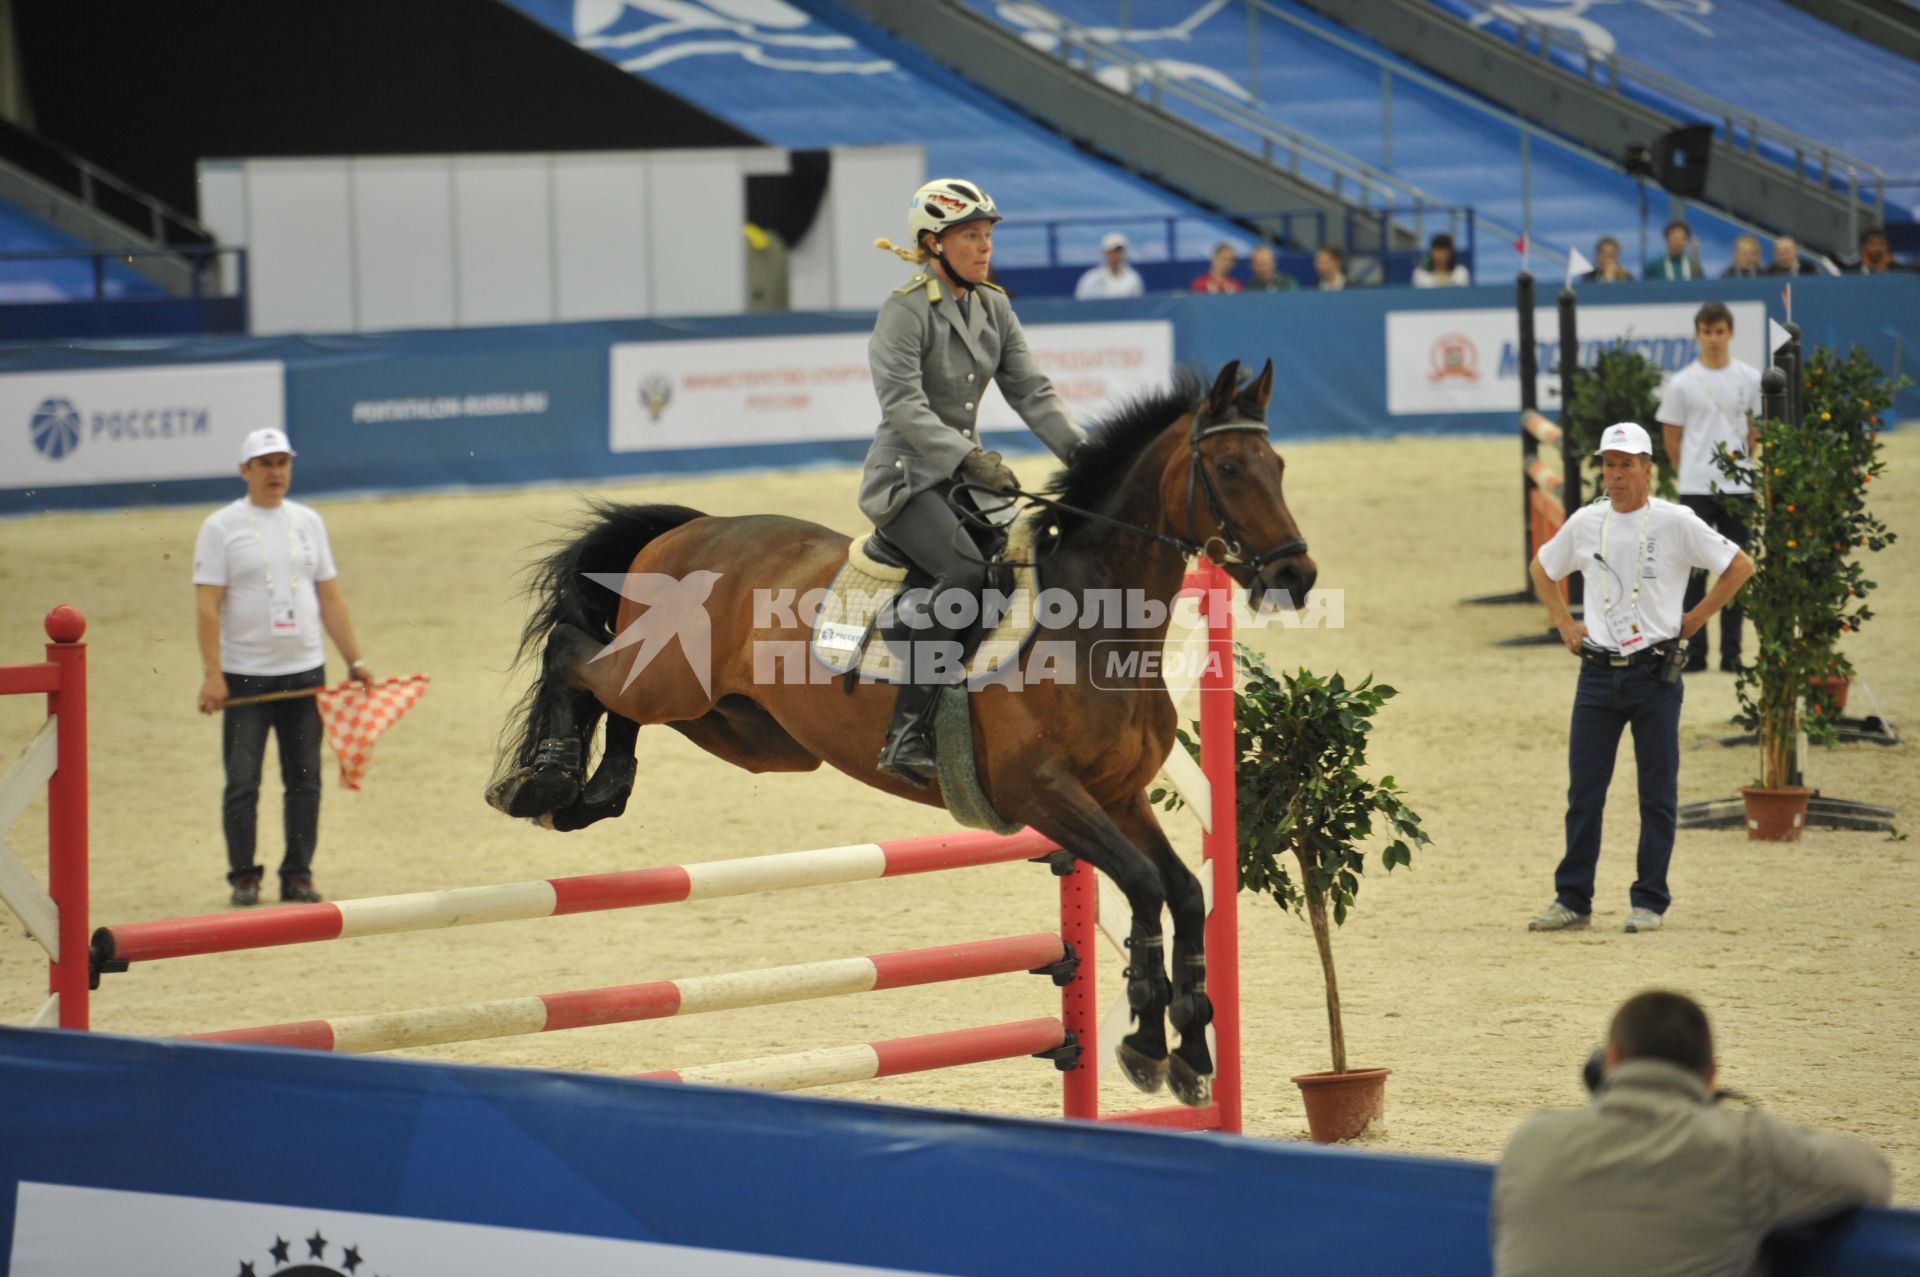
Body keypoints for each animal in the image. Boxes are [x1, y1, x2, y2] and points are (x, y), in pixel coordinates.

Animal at [487, 361, 1313, 1106]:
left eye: (1278, 465)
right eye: (1230, 467)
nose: (1295, 576)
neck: (1091, 621)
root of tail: (691, 528)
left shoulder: (1118, 795)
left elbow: (1185, 894)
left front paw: (1190, 1052)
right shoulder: (1046, 793)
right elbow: (1143, 886)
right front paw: (1144, 1040)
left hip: (747, 730)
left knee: (618, 700)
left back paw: (595, 791)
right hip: (669, 677)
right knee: (572, 652)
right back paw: (542, 780)